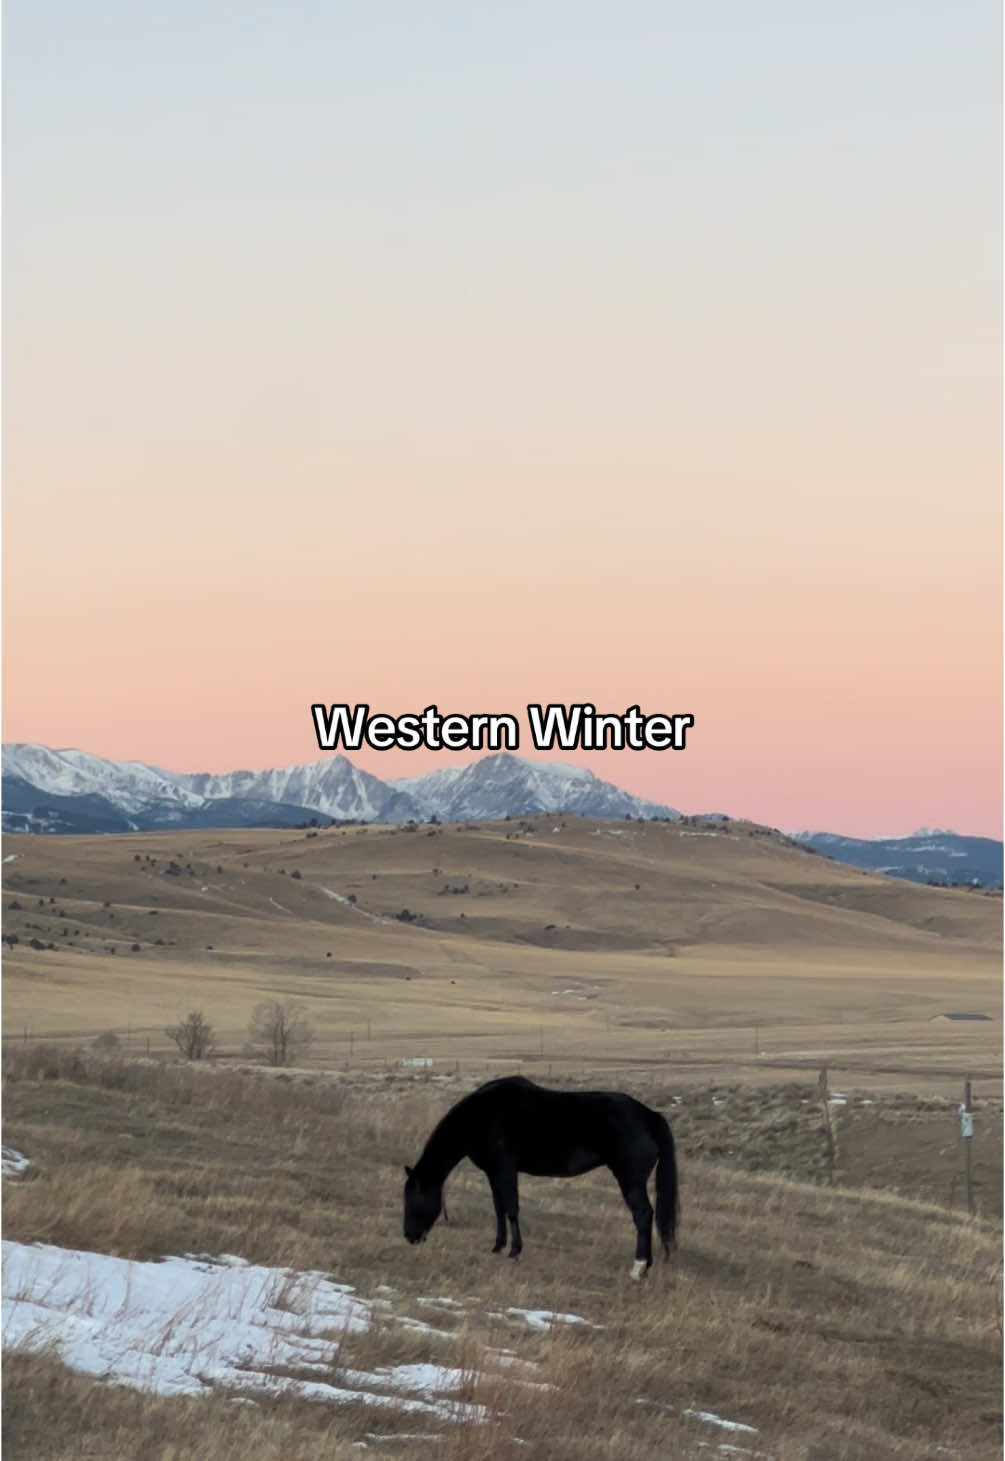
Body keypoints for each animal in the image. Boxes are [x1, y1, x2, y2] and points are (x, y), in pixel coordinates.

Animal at [403, 1075, 677, 1279]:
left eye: (413, 1200)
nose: (409, 1236)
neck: (482, 1115)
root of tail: (649, 1115)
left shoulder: (505, 1170)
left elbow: (512, 1208)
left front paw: (515, 1251)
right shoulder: (493, 1173)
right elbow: (499, 1208)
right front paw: (498, 1247)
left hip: (630, 1180)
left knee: (643, 1215)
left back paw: (638, 1268)